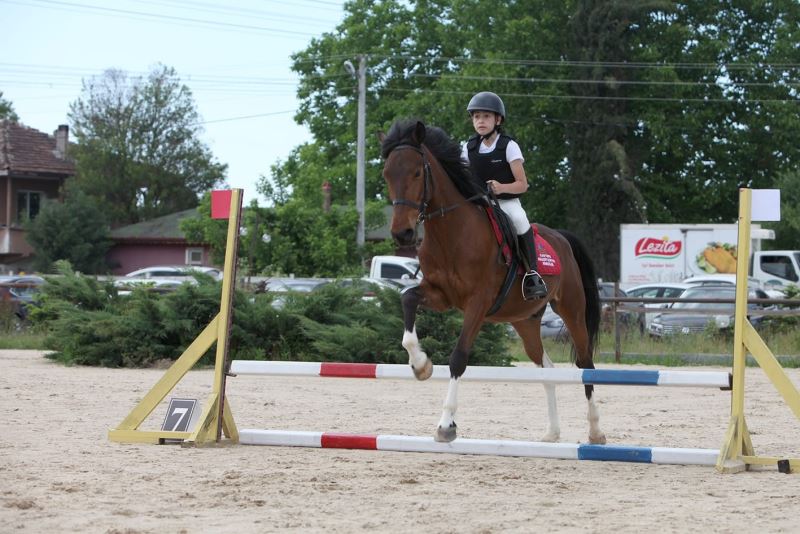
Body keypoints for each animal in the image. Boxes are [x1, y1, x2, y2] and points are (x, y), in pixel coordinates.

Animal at [382, 120, 608, 448]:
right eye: (387, 174)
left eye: (416, 173)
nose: (403, 233)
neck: (451, 233)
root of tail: (561, 237)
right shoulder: (440, 295)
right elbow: (407, 300)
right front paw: (421, 365)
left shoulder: (478, 303)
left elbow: (458, 359)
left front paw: (446, 425)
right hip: (525, 320)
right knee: (546, 368)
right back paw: (552, 432)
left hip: (572, 309)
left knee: (585, 365)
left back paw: (595, 432)